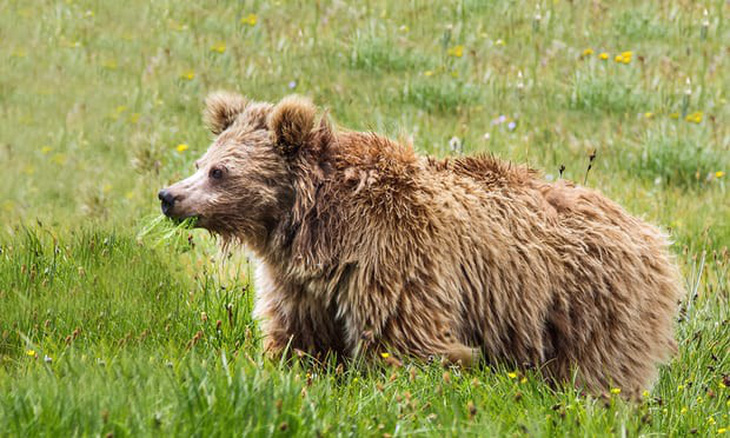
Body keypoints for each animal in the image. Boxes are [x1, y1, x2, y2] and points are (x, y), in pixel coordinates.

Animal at [159, 92, 684, 396]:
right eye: (201, 161)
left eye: (219, 171)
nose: (169, 196)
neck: (314, 226)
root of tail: (652, 234)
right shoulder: (300, 282)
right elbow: (299, 337)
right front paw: (284, 369)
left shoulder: (391, 256)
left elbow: (407, 340)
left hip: (593, 302)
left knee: (600, 371)